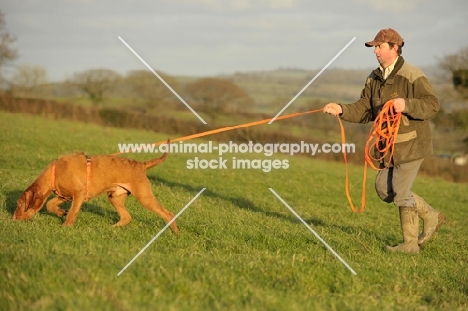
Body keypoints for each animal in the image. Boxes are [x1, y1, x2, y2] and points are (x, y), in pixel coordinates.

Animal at [12, 143, 178, 233]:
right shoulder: (64, 195)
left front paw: (66, 226)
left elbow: (72, 212)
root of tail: (141, 165)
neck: (54, 172)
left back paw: (175, 233)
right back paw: (112, 228)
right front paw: (60, 212)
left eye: (19, 204)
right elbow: (49, 204)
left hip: (144, 197)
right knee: (126, 217)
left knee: (168, 213)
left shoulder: (78, 193)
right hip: (115, 197)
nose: (13, 219)